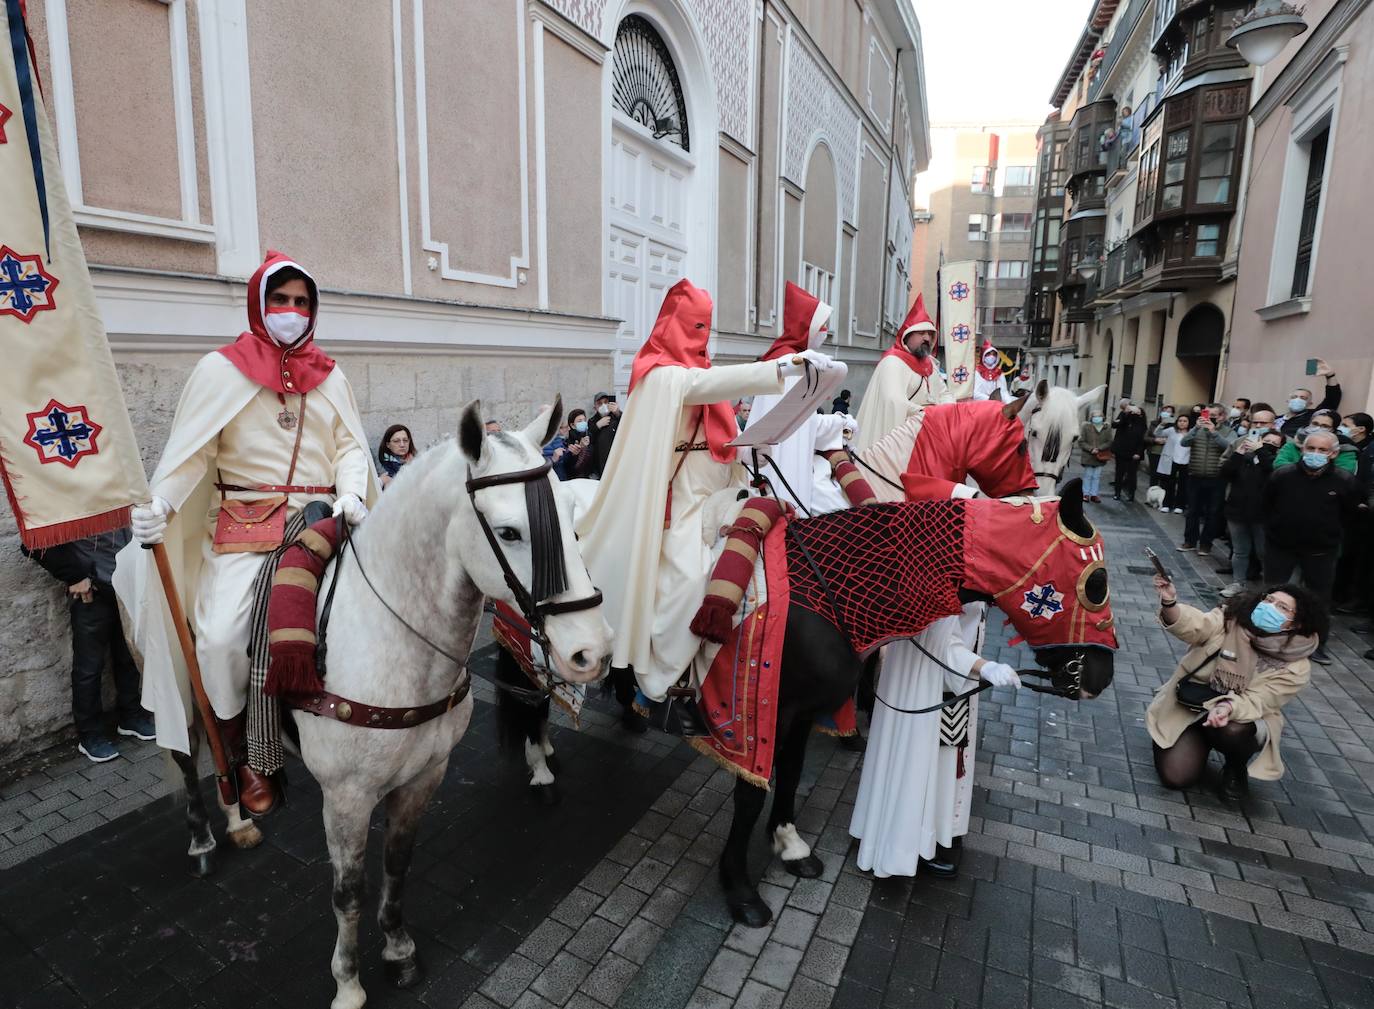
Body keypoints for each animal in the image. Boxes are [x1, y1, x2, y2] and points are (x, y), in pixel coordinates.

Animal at [171, 401, 607, 1009]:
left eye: (571, 515)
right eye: (509, 532)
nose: (591, 651)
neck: (391, 636)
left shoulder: (424, 776)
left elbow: (398, 864)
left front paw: (399, 950)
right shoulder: (346, 798)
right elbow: (348, 891)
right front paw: (348, 983)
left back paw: (239, 817)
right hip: (178, 685)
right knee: (189, 757)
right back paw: (204, 838)